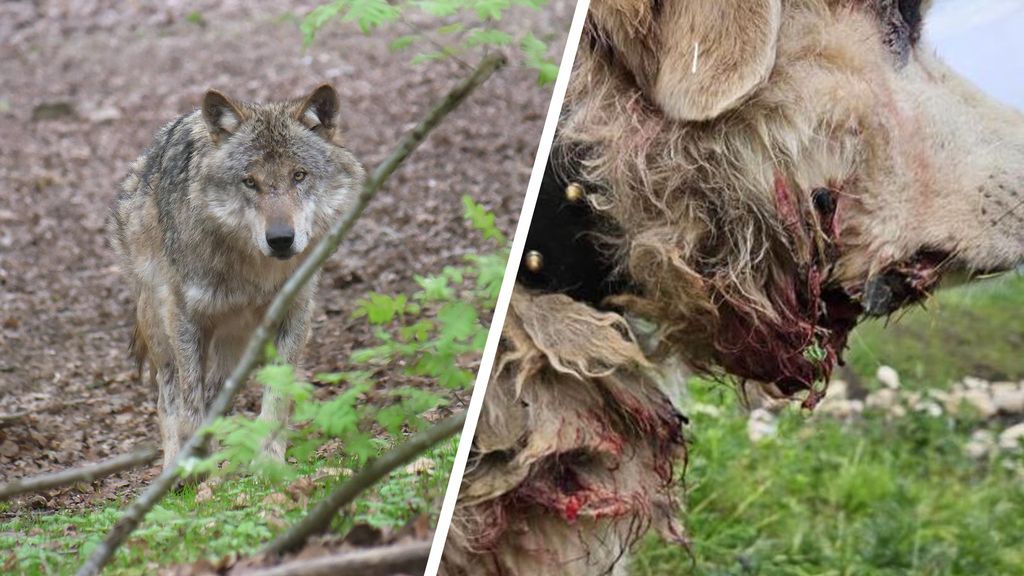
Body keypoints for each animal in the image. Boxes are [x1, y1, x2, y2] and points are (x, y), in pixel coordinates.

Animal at [110, 84, 366, 467]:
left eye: (299, 175)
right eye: (250, 182)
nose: (280, 239)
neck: (252, 273)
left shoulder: (295, 312)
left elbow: (277, 402)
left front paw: (268, 466)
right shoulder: (183, 316)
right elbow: (189, 410)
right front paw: (192, 467)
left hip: (237, 343)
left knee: (218, 398)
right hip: (159, 325)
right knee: (168, 399)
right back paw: (175, 466)